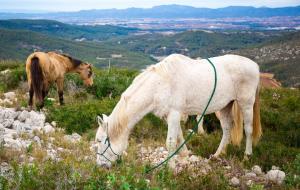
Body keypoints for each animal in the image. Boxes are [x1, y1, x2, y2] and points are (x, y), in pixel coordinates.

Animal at [95, 53, 262, 168]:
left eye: (100, 141)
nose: (100, 166)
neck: (159, 84)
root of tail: (255, 66)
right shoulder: (169, 116)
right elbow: (179, 136)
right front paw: (184, 155)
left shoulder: (174, 114)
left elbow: (170, 141)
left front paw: (169, 167)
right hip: (225, 106)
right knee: (227, 129)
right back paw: (218, 154)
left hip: (246, 104)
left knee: (248, 129)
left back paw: (247, 156)